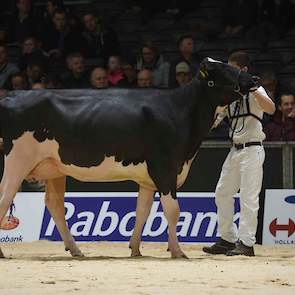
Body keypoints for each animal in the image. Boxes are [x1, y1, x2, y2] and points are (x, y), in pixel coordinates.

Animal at [0, 58, 260, 260]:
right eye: (225, 69)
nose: (255, 78)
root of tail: (12, 95)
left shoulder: (148, 177)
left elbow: (142, 211)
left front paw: (135, 249)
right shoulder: (164, 167)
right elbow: (173, 210)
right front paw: (177, 251)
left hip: (54, 168)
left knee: (54, 205)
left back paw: (76, 250)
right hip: (18, 160)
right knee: (6, 196)